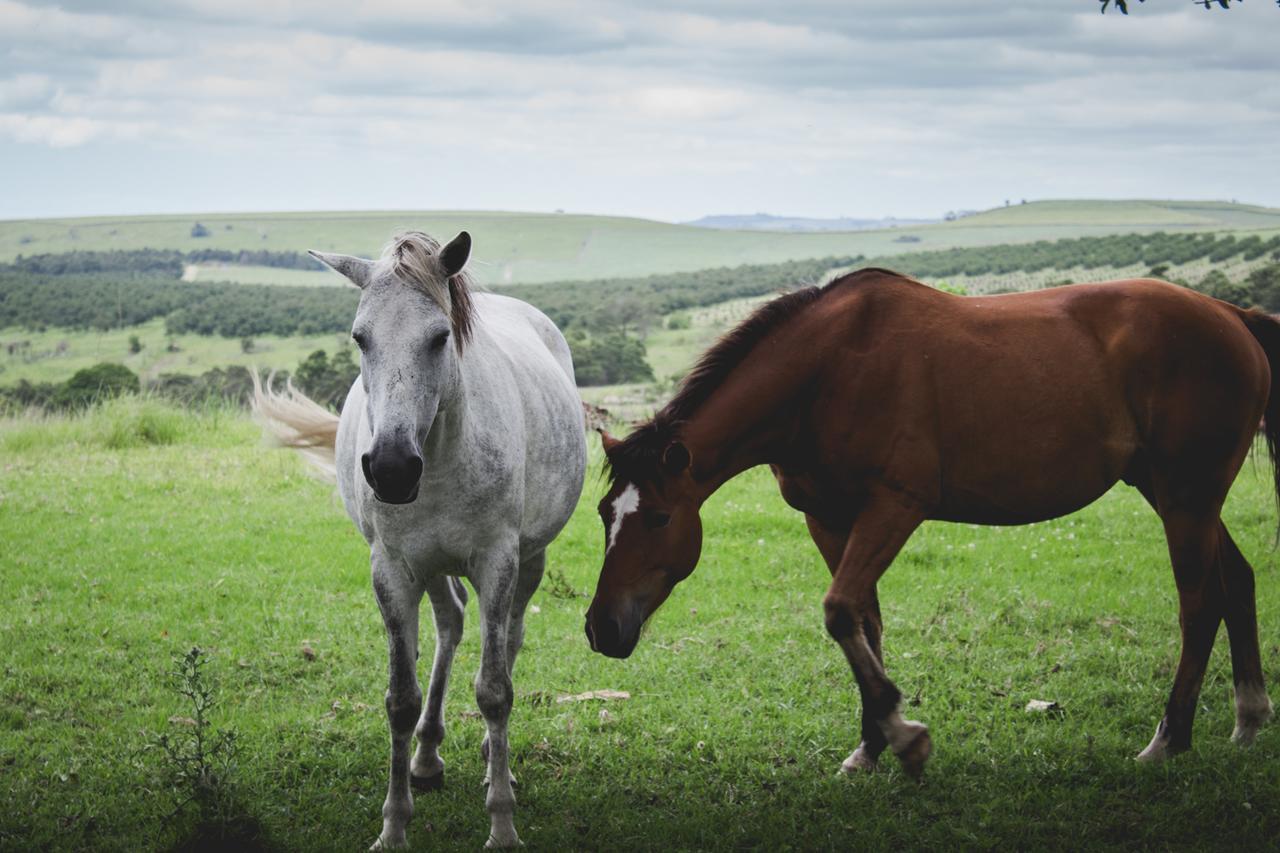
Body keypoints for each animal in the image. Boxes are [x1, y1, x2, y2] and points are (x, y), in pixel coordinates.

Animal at [254, 229, 586, 845]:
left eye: (439, 337)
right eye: (360, 338)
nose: (389, 468)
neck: (441, 453)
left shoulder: (498, 561)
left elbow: (495, 690)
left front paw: (502, 825)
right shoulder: (393, 568)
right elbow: (400, 699)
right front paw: (393, 826)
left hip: (528, 560)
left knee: (509, 639)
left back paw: (491, 759)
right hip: (431, 566)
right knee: (451, 625)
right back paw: (427, 757)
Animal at [586, 270, 1274, 778]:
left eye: (659, 517)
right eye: (604, 514)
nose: (601, 628)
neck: (827, 372)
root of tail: (1231, 315)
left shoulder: (895, 507)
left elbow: (840, 610)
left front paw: (905, 735)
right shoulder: (828, 520)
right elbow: (863, 620)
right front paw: (870, 746)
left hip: (1186, 497)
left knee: (1199, 603)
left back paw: (1170, 739)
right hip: (1176, 495)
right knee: (1237, 582)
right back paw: (1248, 717)